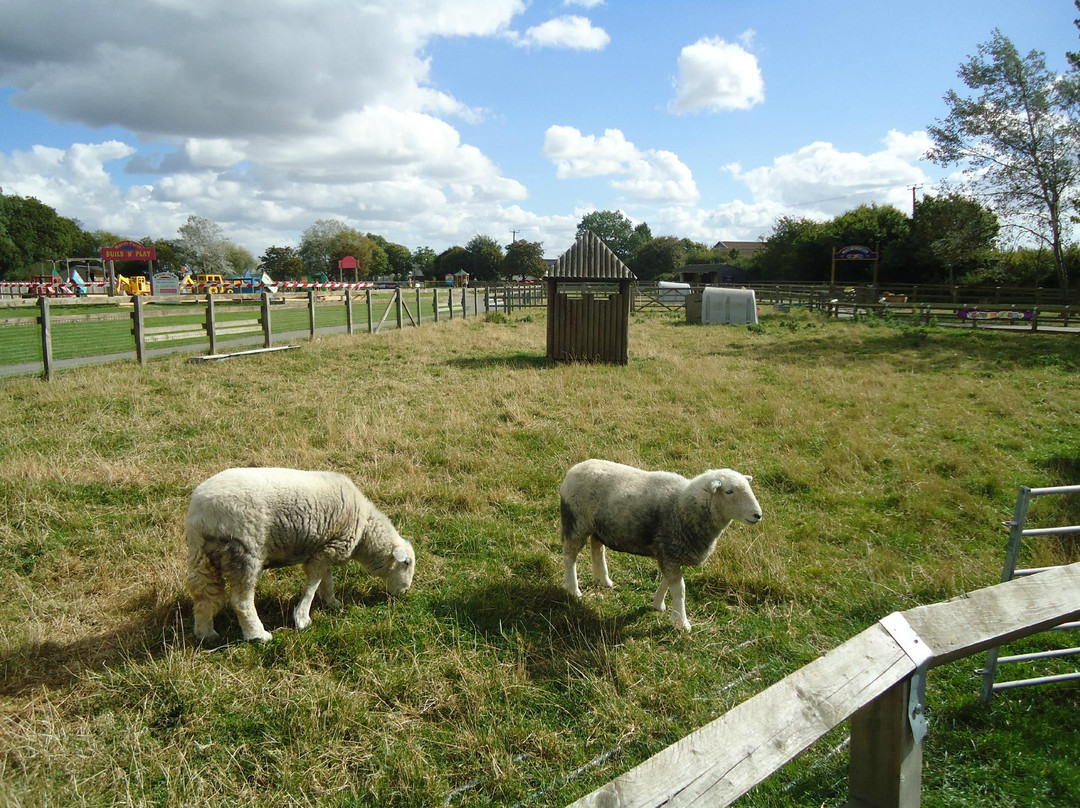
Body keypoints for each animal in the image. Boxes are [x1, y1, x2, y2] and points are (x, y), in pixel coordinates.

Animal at [185, 466, 412, 643]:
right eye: (407, 563)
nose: (404, 593)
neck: (364, 530)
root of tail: (200, 513)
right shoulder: (327, 550)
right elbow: (312, 585)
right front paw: (302, 618)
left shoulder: (325, 548)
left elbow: (326, 581)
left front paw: (332, 603)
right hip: (244, 549)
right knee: (241, 601)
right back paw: (257, 635)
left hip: (200, 555)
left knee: (203, 594)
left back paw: (206, 633)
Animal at [561, 460, 764, 630]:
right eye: (729, 491)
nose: (758, 515)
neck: (683, 506)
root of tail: (575, 468)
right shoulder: (670, 551)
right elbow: (680, 588)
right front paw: (682, 623)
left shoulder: (672, 553)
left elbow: (669, 582)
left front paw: (658, 604)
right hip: (576, 521)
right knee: (570, 556)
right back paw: (573, 589)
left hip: (598, 526)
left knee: (597, 548)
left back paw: (603, 580)